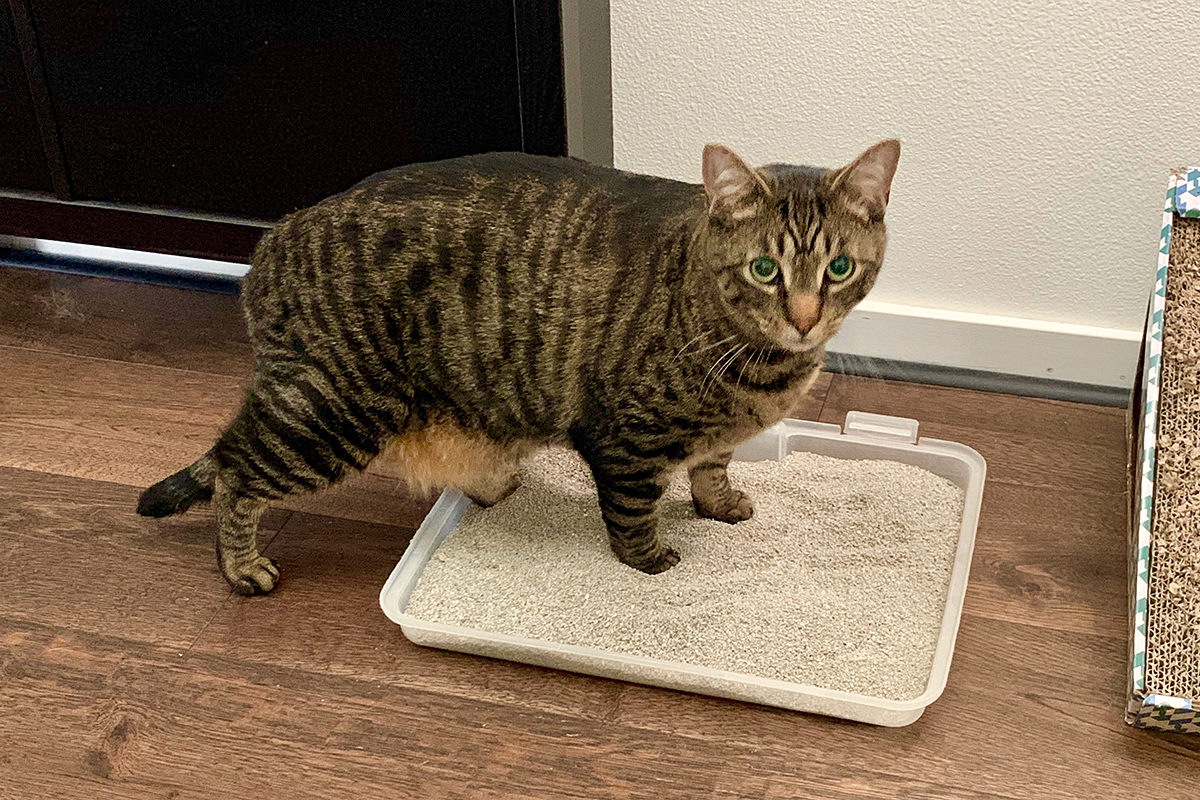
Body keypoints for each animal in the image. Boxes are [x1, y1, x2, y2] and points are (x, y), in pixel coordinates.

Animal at [136, 139, 897, 594]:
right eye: (766, 269)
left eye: (839, 268)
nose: (804, 316)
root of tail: (270, 241)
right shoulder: (625, 439)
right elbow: (633, 512)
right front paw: (649, 559)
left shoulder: (714, 436)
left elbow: (713, 465)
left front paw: (719, 501)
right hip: (333, 412)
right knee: (234, 470)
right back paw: (241, 564)